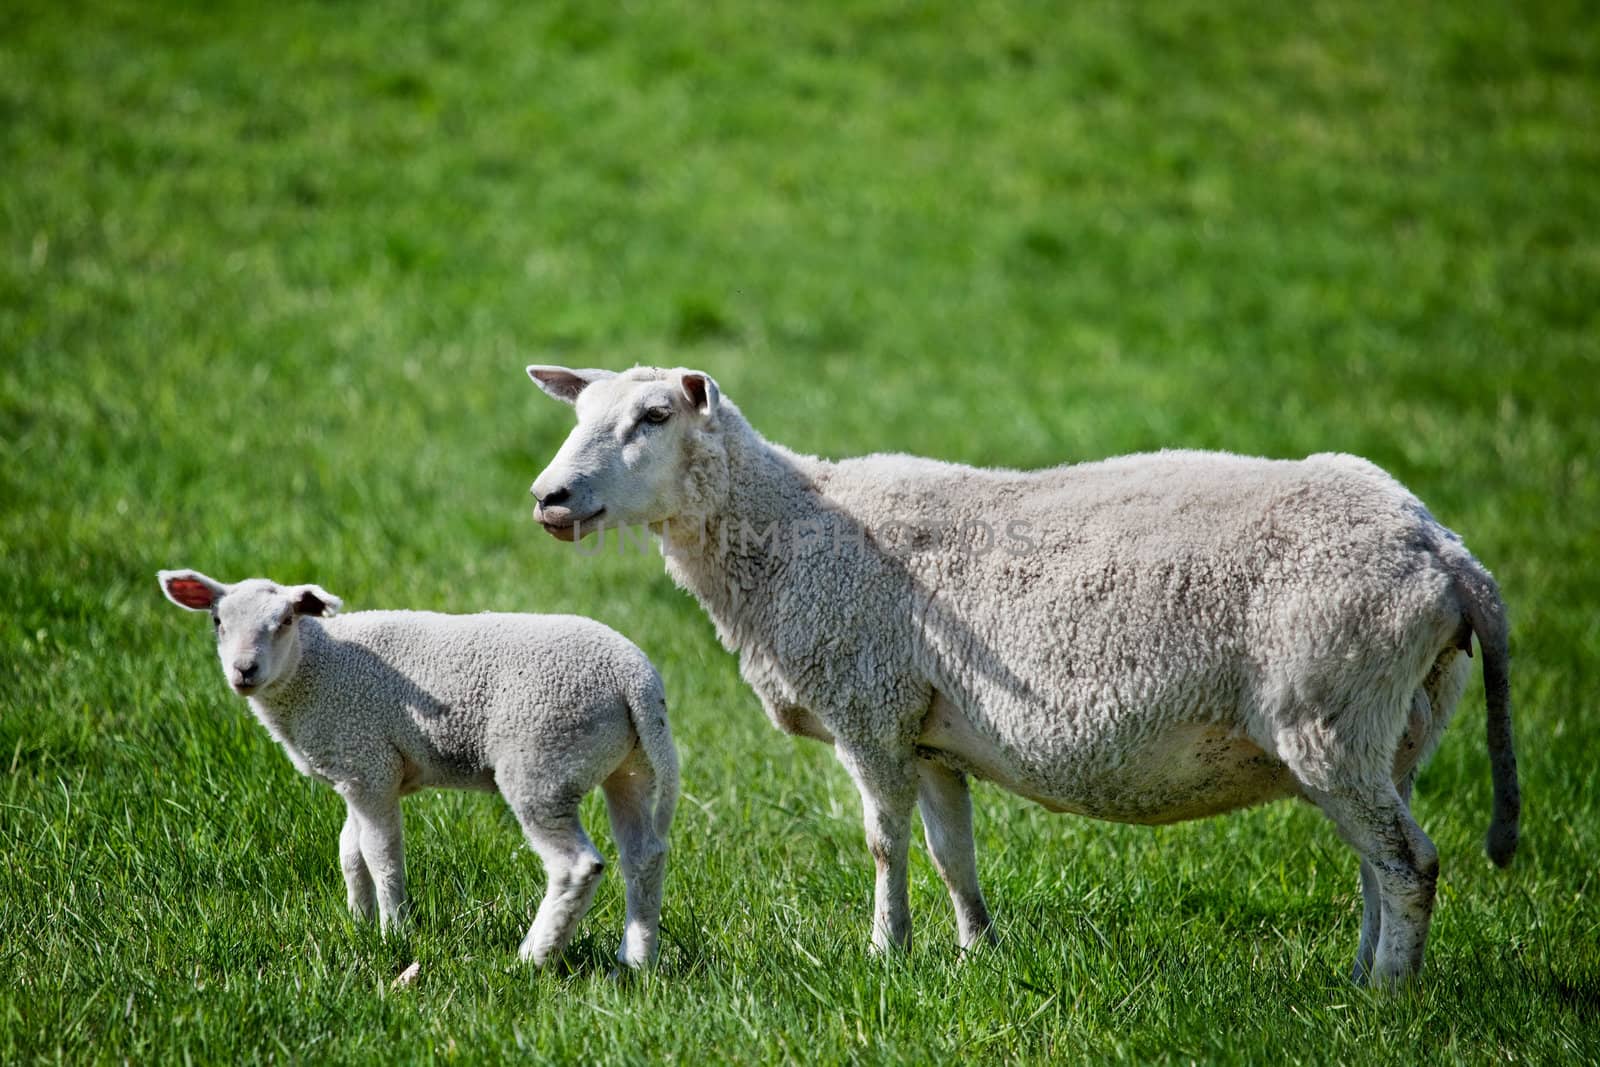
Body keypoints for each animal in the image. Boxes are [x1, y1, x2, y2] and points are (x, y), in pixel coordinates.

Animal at [151, 572, 675, 972]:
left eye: (284, 622)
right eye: (218, 622)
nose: (244, 671)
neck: (314, 670)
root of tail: (636, 678)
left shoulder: (366, 761)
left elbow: (380, 854)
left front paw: (393, 932)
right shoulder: (358, 770)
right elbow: (349, 851)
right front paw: (358, 922)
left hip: (542, 761)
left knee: (576, 866)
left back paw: (532, 958)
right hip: (628, 765)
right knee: (643, 856)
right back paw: (635, 960)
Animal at [521, 363, 1510, 991]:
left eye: (654, 418)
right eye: (577, 415)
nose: (549, 499)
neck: (796, 528)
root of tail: (1444, 551)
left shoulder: (869, 705)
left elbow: (884, 844)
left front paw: (885, 953)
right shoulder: (927, 730)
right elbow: (951, 852)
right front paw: (975, 952)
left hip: (1331, 711)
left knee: (1409, 862)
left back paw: (1386, 997)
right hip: (1394, 725)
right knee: (1377, 861)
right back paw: (1362, 974)